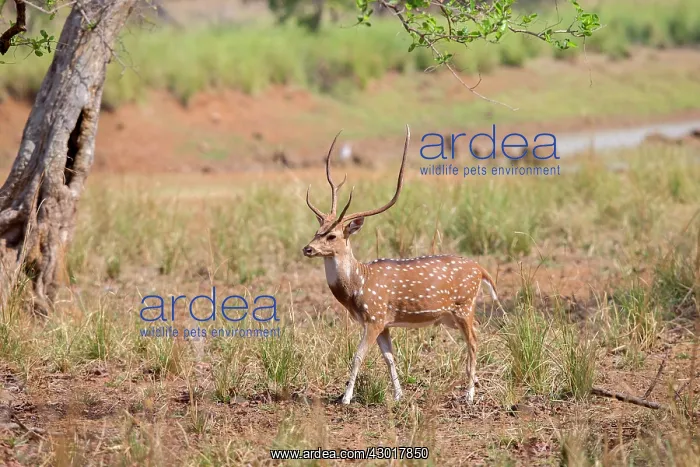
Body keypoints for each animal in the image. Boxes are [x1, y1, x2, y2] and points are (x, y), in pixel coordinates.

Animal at [302, 124, 502, 405]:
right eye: (317, 231)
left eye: (332, 236)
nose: (307, 248)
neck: (357, 287)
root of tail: (480, 269)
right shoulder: (384, 323)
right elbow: (389, 358)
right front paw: (398, 395)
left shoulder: (374, 316)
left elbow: (358, 356)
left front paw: (346, 398)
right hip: (452, 315)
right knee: (478, 333)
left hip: (464, 305)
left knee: (473, 341)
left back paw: (469, 395)